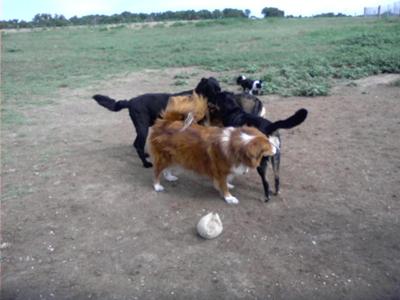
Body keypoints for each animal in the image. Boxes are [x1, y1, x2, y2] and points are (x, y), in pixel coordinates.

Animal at [92, 77, 220, 168]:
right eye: (214, 89)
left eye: (219, 88)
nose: (221, 96)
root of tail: (130, 101)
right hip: (143, 128)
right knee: (138, 145)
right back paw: (145, 163)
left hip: (142, 127)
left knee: (136, 143)